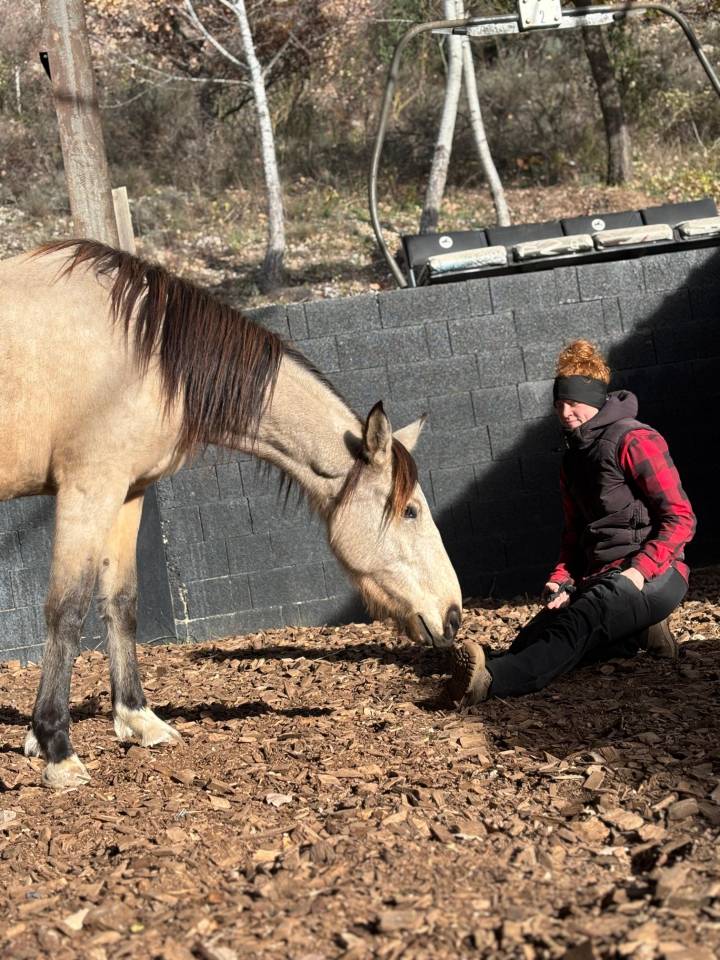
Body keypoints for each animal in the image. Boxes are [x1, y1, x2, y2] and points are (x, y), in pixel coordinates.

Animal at [0, 240, 462, 788]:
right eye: (410, 511)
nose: (453, 616)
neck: (140, 356)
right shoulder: (87, 491)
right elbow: (66, 612)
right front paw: (55, 746)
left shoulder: (128, 493)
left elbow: (122, 603)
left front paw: (137, 719)